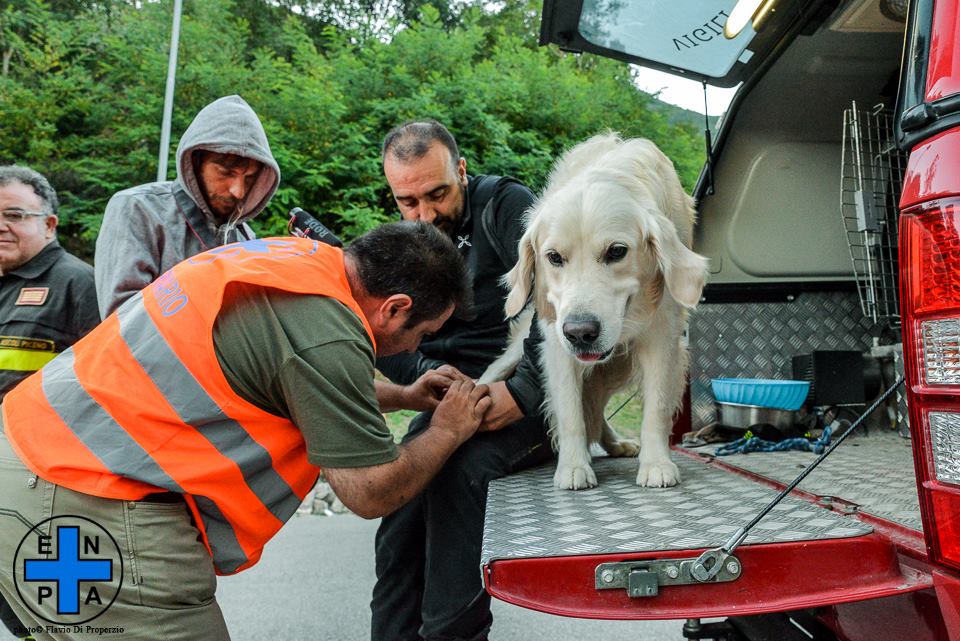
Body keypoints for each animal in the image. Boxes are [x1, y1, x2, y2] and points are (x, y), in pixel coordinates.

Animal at [478, 132, 704, 488]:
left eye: (617, 252)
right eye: (554, 257)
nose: (580, 333)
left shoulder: (661, 336)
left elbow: (656, 407)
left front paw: (656, 463)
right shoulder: (556, 343)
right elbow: (571, 411)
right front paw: (573, 466)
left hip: (615, 366)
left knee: (597, 409)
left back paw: (615, 443)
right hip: (523, 349)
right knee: (496, 373)